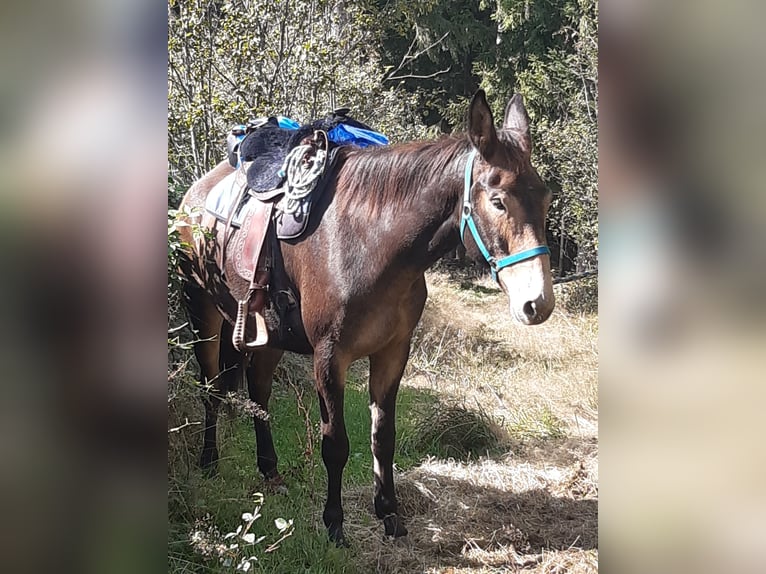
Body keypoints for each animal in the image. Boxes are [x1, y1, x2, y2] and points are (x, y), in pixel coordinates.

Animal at [177, 90, 556, 544]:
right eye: (498, 201)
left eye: (546, 199)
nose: (538, 303)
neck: (368, 243)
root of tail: (194, 194)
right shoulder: (329, 358)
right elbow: (335, 444)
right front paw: (334, 523)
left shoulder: (392, 353)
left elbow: (382, 437)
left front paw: (389, 513)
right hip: (202, 313)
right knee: (211, 389)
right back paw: (209, 461)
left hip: (268, 336)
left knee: (258, 392)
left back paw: (269, 471)